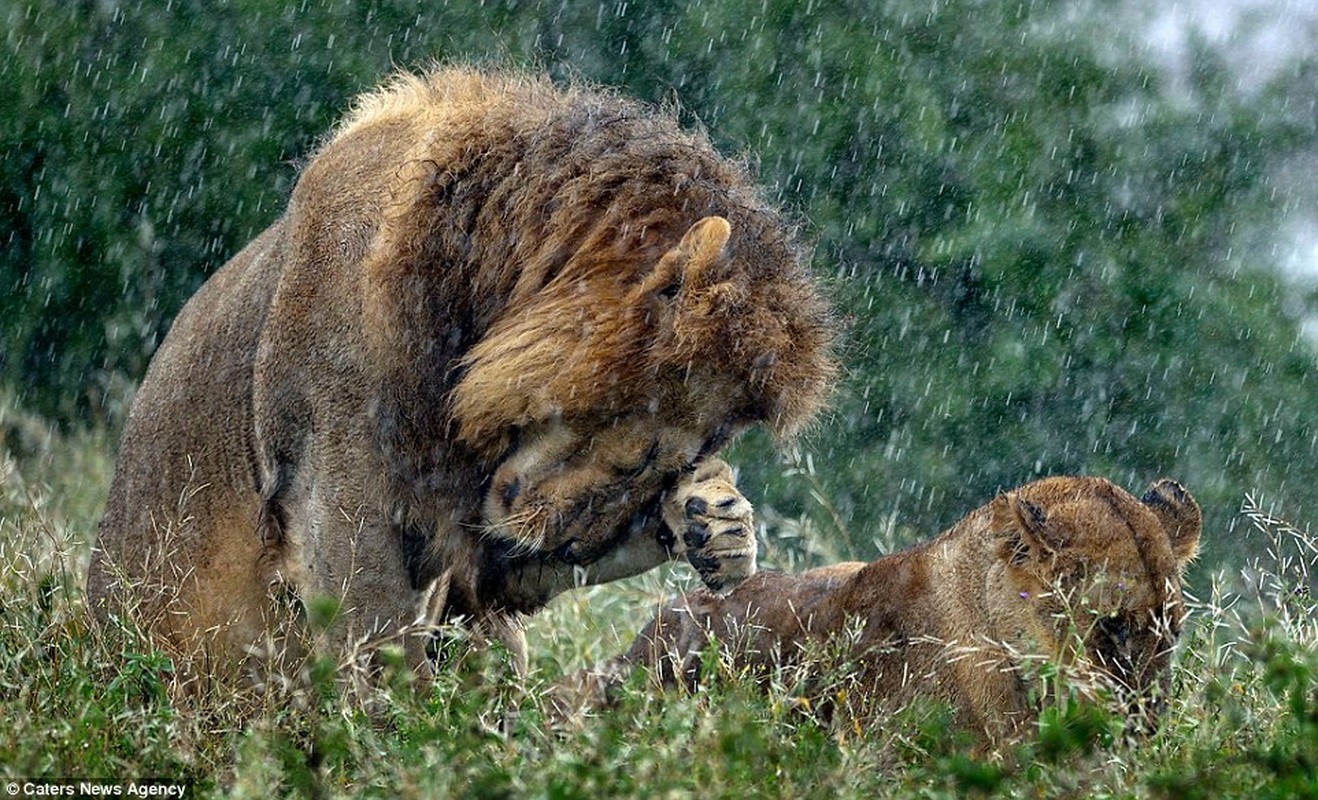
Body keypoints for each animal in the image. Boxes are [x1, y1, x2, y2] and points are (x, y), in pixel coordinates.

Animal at [85, 67, 832, 680]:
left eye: (683, 456)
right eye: (648, 438)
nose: (574, 540)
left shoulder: (485, 544)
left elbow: (495, 580)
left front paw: (720, 523)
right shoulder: (331, 478)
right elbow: (375, 640)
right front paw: (397, 744)